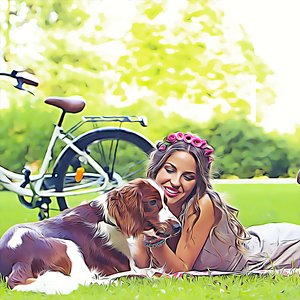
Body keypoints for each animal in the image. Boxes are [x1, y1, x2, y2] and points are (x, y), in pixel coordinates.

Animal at [0, 179, 180, 294]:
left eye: (165, 201)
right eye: (152, 202)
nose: (178, 227)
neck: (107, 219)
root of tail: (18, 258)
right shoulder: (124, 266)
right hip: (68, 246)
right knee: (86, 281)